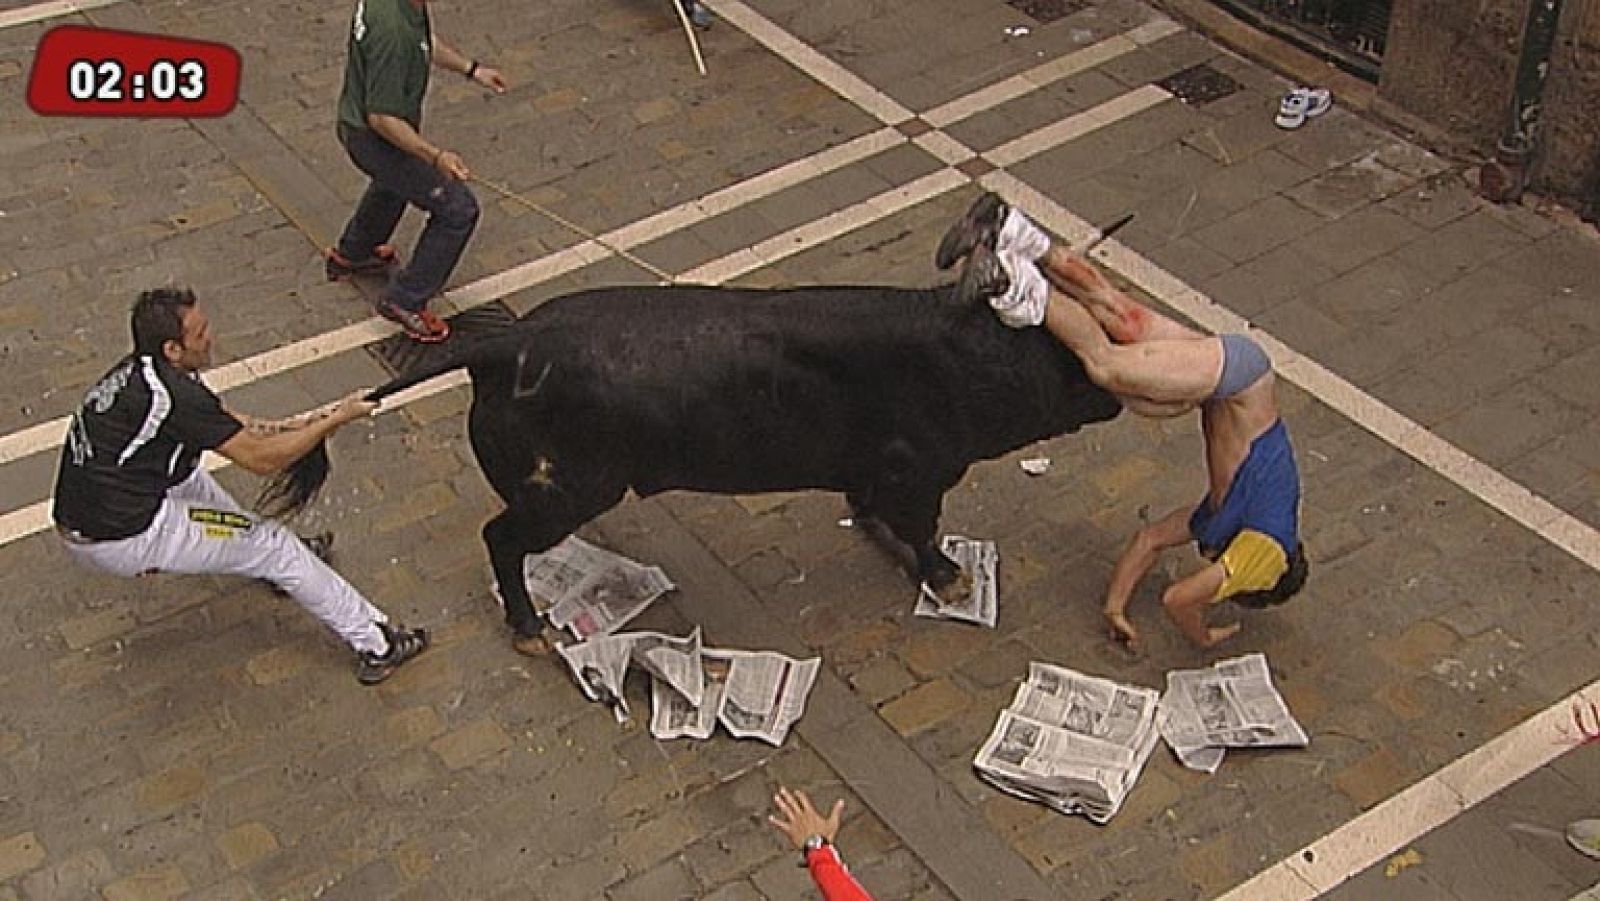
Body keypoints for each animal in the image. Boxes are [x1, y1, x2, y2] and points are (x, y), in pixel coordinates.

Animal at [275, 281, 1120, 640]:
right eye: (1081, 357)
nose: (1119, 395)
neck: (964, 358)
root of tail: (504, 344)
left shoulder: (874, 472)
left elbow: (878, 514)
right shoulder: (920, 471)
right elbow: (920, 528)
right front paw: (948, 577)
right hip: (572, 488)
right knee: (501, 537)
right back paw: (528, 627)